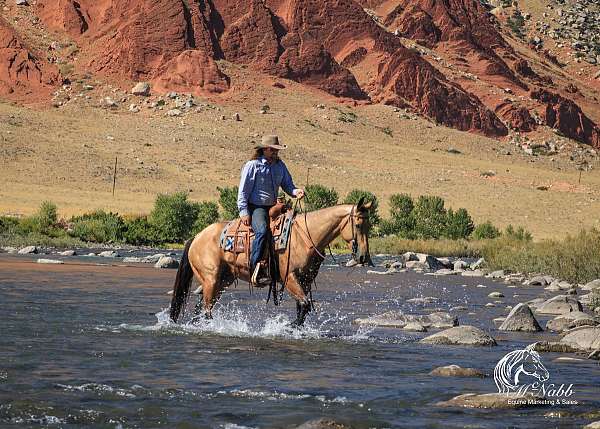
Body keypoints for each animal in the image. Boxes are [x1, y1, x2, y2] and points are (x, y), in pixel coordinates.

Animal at [169, 199, 372, 326]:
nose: (363, 257)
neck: (306, 236)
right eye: (358, 225)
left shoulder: (305, 281)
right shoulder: (289, 278)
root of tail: (196, 237)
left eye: (369, 225)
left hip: (222, 280)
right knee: (206, 309)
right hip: (211, 279)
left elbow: (302, 308)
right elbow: (305, 305)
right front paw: (289, 326)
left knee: (200, 308)